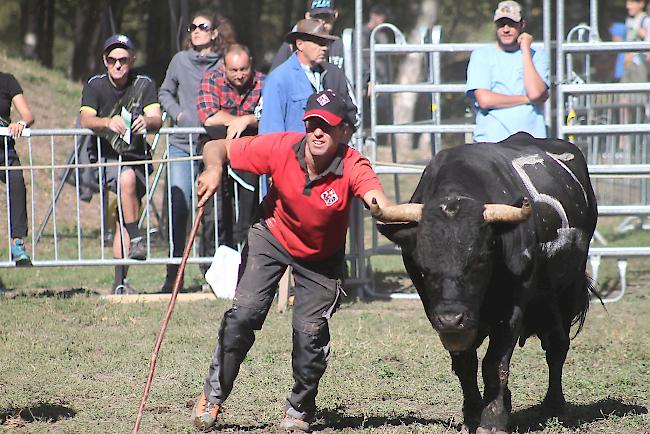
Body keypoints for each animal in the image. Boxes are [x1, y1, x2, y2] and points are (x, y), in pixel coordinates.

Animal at [374, 133, 596, 434]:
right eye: (423, 265)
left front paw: (492, 420)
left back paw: (554, 404)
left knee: (557, 345)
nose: (451, 318)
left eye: (480, 259)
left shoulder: (512, 309)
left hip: (566, 288)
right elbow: (465, 363)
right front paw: (472, 413)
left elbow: (495, 364)